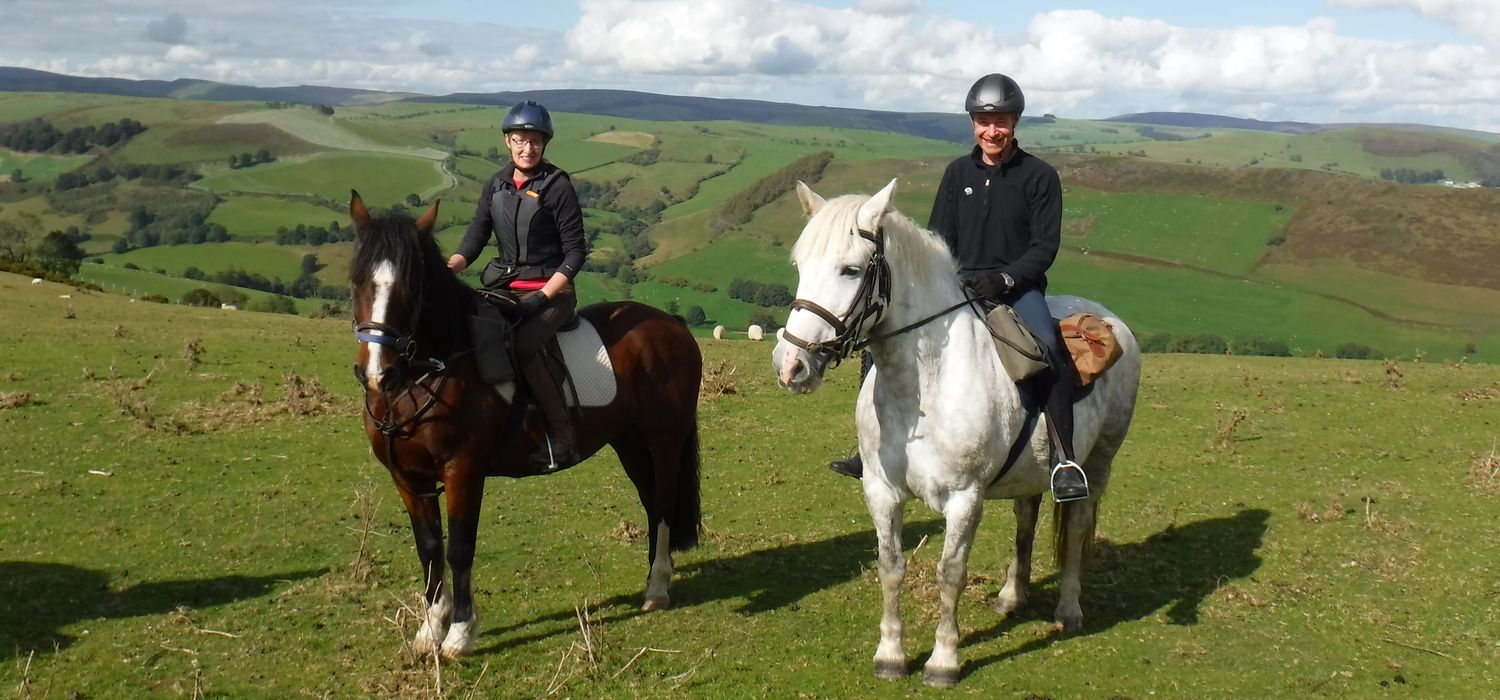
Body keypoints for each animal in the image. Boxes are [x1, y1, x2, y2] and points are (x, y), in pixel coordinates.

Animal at [349, 193, 702, 662]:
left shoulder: (463, 470)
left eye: (412, 286)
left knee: (662, 503)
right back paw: (653, 581)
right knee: (650, 502)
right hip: (629, 442)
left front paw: (460, 633)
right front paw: (430, 627)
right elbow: (429, 548)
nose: (376, 374)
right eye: (357, 280)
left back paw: (658, 586)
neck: (426, 371)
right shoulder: (408, 478)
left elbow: (460, 547)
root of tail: (673, 325)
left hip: (663, 440)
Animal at [768, 178, 1140, 686]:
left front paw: (943, 660)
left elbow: (950, 573)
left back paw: (1068, 610)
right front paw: (890, 654)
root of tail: (1109, 319)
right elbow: (890, 566)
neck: (924, 388)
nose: (791, 365)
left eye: (851, 269)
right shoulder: (880, 491)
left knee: (1079, 521)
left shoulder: (965, 498)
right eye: (801, 266)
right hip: (1032, 469)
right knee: (1026, 518)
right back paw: (1012, 595)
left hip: (1099, 459)